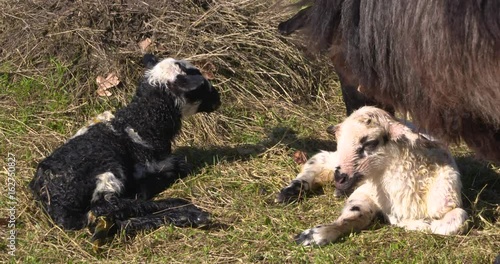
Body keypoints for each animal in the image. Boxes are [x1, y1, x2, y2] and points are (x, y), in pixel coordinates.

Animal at [28, 54, 221, 248]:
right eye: (201, 87)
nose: (218, 98)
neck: (141, 123)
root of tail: (54, 204)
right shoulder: (148, 164)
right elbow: (178, 167)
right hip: (108, 169)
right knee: (105, 208)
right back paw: (189, 212)